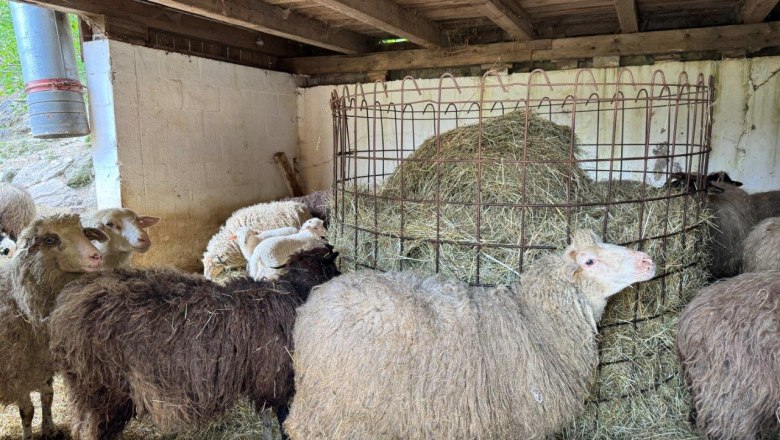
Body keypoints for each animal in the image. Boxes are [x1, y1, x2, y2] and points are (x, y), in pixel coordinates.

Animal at [0, 213, 108, 440]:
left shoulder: (44, 361)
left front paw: (50, 429)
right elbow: (27, 411)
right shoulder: (16, 370)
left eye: (84, 232)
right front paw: (28, 436)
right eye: (50, 239)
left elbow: (48, 396)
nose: (96, 256)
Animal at [50, 245, 341, 440]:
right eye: (333, 267)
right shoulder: (277, 381)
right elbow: (280, 420)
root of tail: (62, 310)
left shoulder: (264, 383)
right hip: (101, 392)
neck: (291, 291)